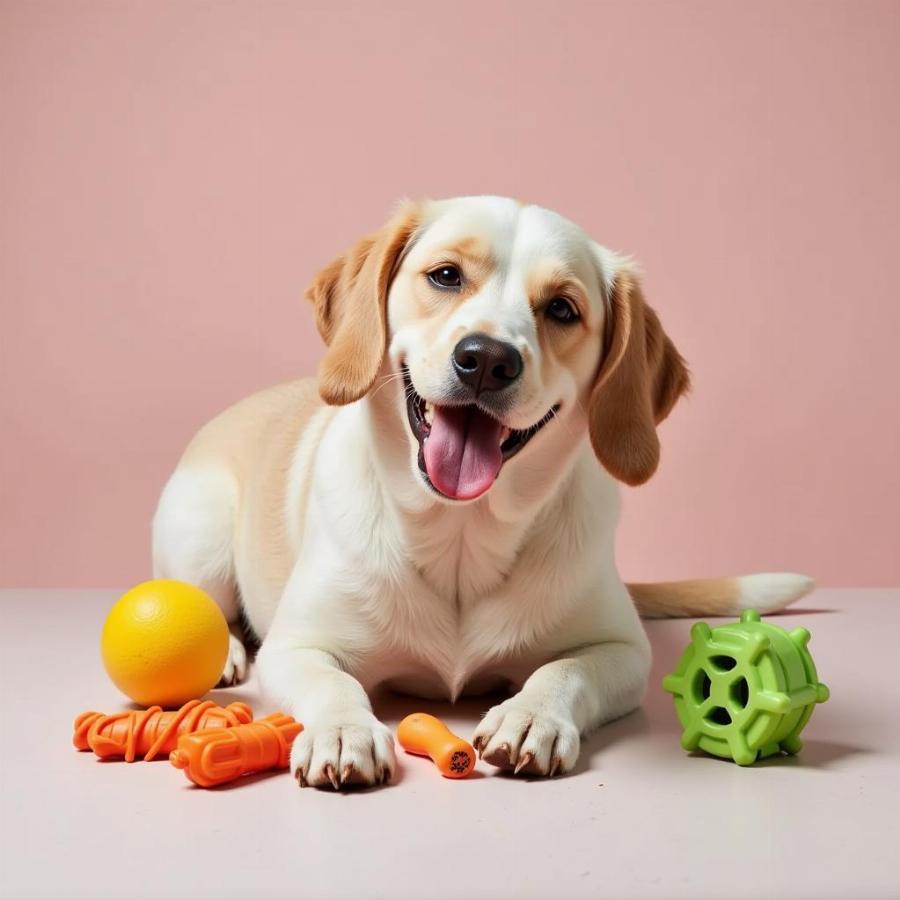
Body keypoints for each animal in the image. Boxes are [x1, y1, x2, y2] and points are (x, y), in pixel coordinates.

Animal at [151, 195, 812, 788]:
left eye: (562, 308)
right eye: (446, 276)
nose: (487, 359)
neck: (459, 535)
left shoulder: (623, 650)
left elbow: (565, 670)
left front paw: (530, 717)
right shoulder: (298, 645)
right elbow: (332, 681)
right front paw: (344, 730)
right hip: (202, 535)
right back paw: (226, 650)